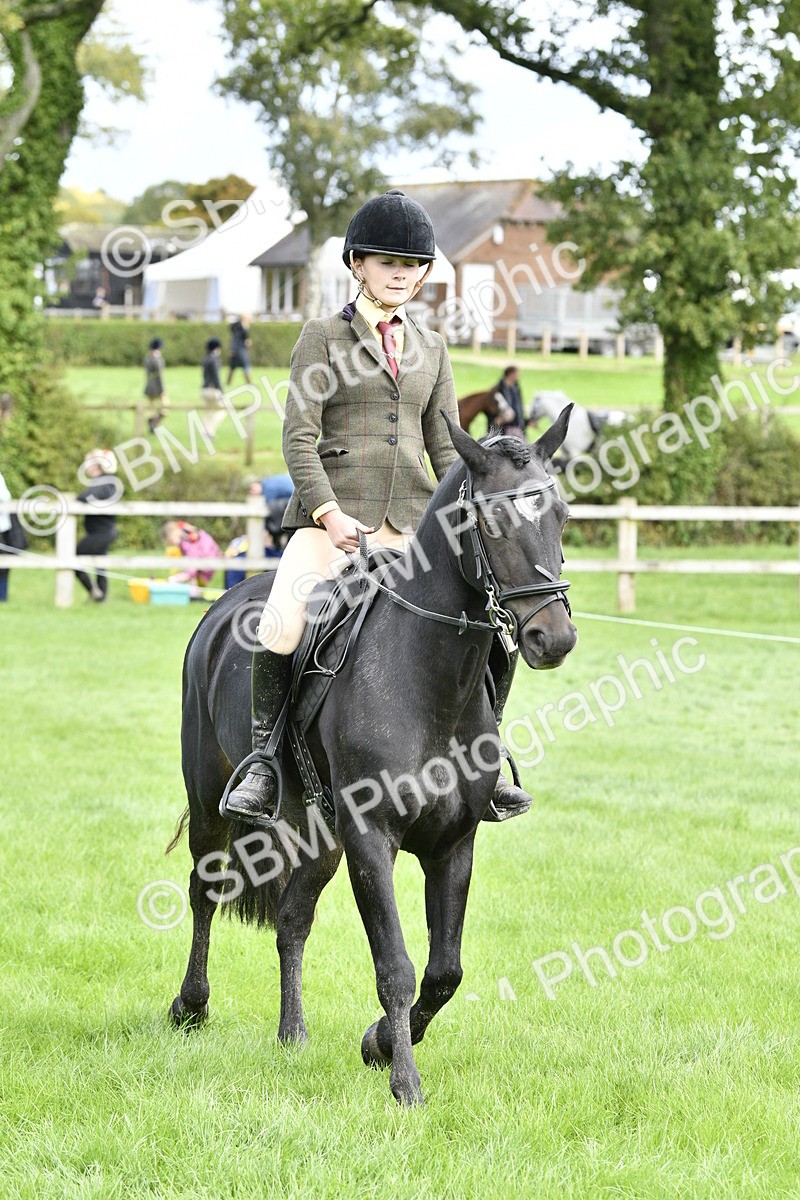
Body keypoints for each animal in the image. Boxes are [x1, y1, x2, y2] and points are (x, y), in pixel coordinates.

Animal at [168, 408, 577, 1107]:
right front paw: (405, 1083)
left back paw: (292, 1034)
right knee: (205, 889)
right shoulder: (372, 837)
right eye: (491, 519)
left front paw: (379, 1043)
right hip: (210, 799)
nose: (555, 638)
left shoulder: (453, 843)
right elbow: (397, 966)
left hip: (320, 831)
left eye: (560, 515)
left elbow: (445, 971)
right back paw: (190, 1007)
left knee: (292, 917)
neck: (429, 679)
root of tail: (225, 603)